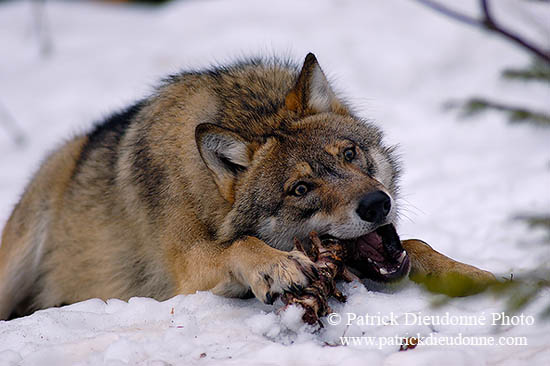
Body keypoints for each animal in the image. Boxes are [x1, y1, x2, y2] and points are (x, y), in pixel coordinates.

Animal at [0, 53, 496, 318]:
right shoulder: (188, 270)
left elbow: (415, 243)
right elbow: (237, 246)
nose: (376, 204)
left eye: (349, 154)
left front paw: (468, 273)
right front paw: (276, 265)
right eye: (300, 189)